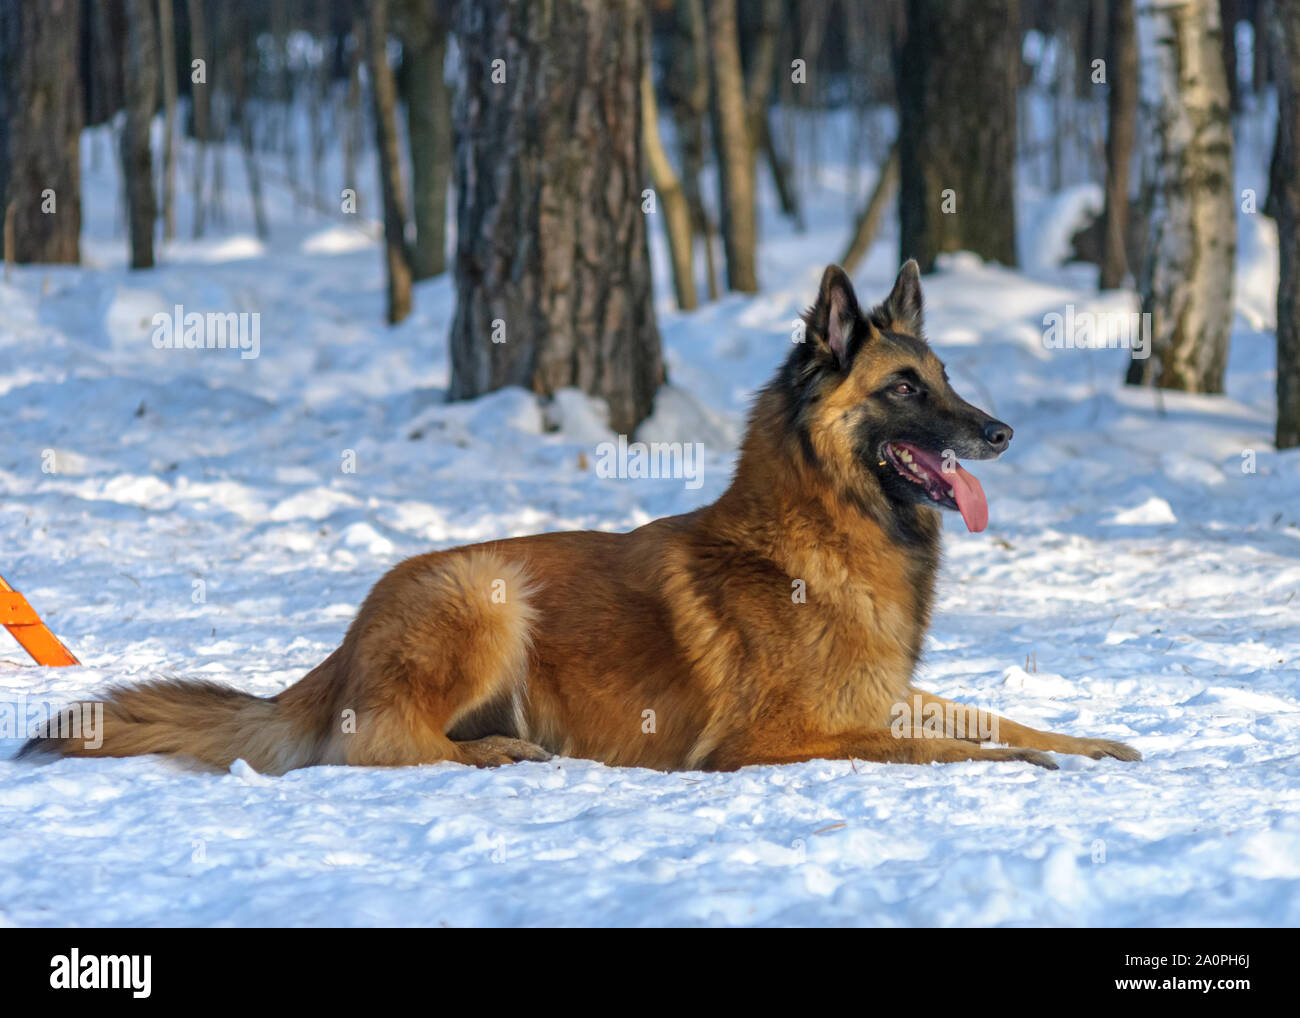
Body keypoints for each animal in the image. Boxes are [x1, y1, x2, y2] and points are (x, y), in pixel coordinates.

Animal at [17, 262, 1138, 774]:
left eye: (946, 378)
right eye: (905, 389)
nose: (1000, 431)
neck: (820, 530)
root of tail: (341, 644)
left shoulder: (880, 695)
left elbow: (982, 715)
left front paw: (1090, 741)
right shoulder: (776, 736)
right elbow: (938, 747)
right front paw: (1021, 764)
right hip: (485, 596)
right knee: (380, 746)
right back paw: (499, 755)